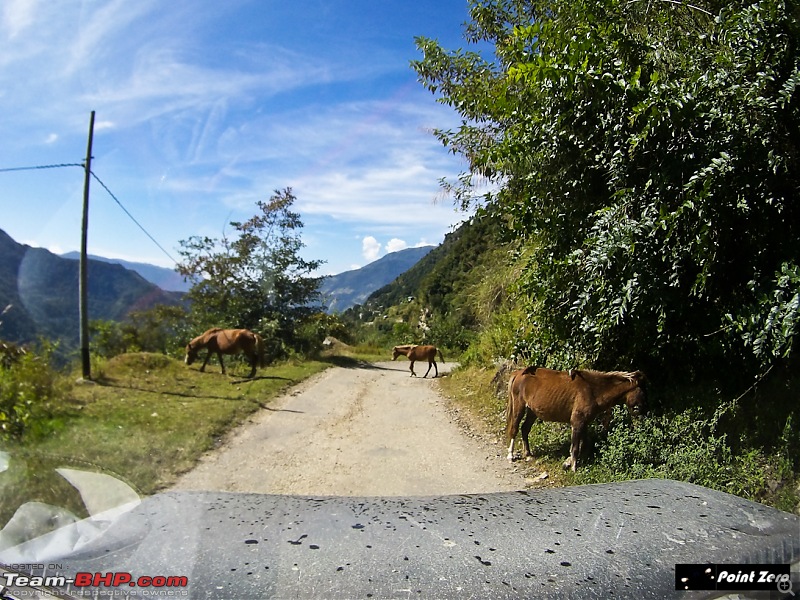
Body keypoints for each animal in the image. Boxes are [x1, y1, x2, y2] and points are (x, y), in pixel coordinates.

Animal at [506, 368, 648, 472]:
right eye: (642, 391)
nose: (642, 410)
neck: (593, 390)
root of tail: (518, 373)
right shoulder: (577, 422)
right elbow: (575, 447)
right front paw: (573, 467)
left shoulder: (584, 423)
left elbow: (584, 445)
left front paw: (570, 462)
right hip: (519, 406)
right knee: (514, 428)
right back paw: (510, 455)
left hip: (532, 411)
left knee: (525, 429)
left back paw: (528, 454)